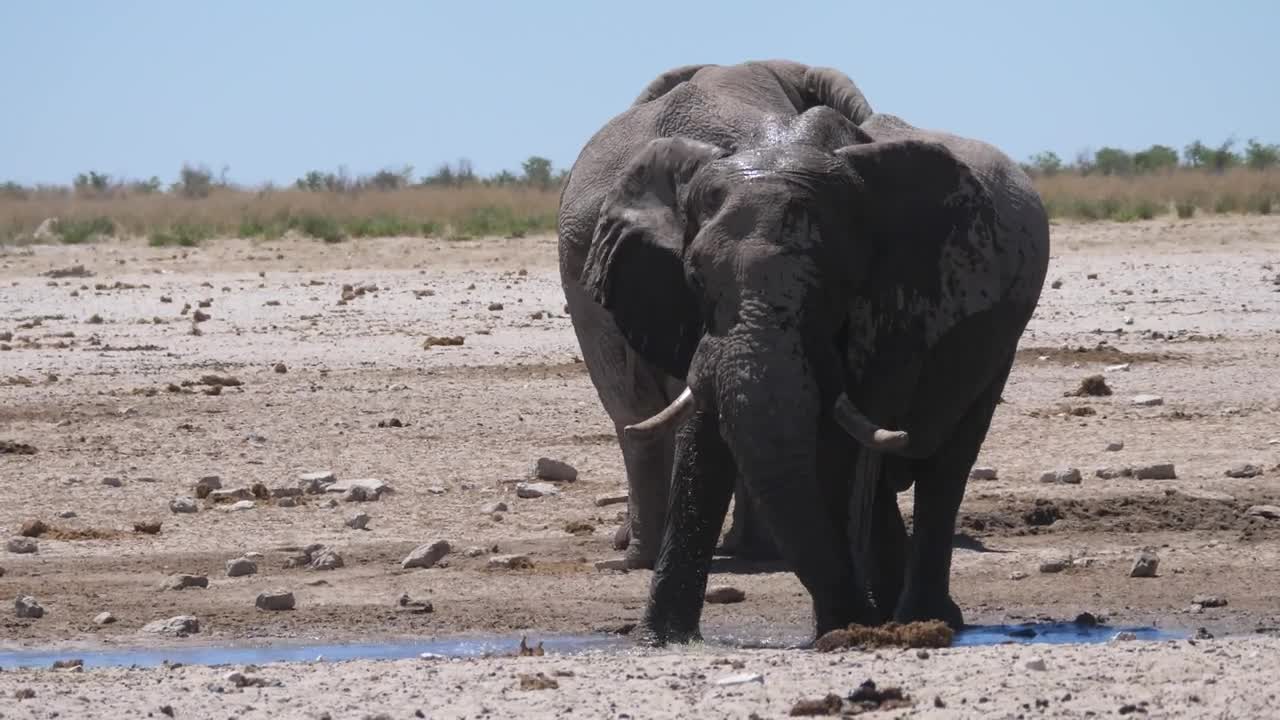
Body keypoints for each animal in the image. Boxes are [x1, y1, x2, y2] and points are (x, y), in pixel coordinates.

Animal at [556, 59, 1050, 646]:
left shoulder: (894, 300)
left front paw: (843, 630)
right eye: (695, 278)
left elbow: (842, 446)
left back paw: (917, 617)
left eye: (835, 284)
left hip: (1000, 338)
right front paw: (659, 641)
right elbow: (708, 431)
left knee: (943, 465)